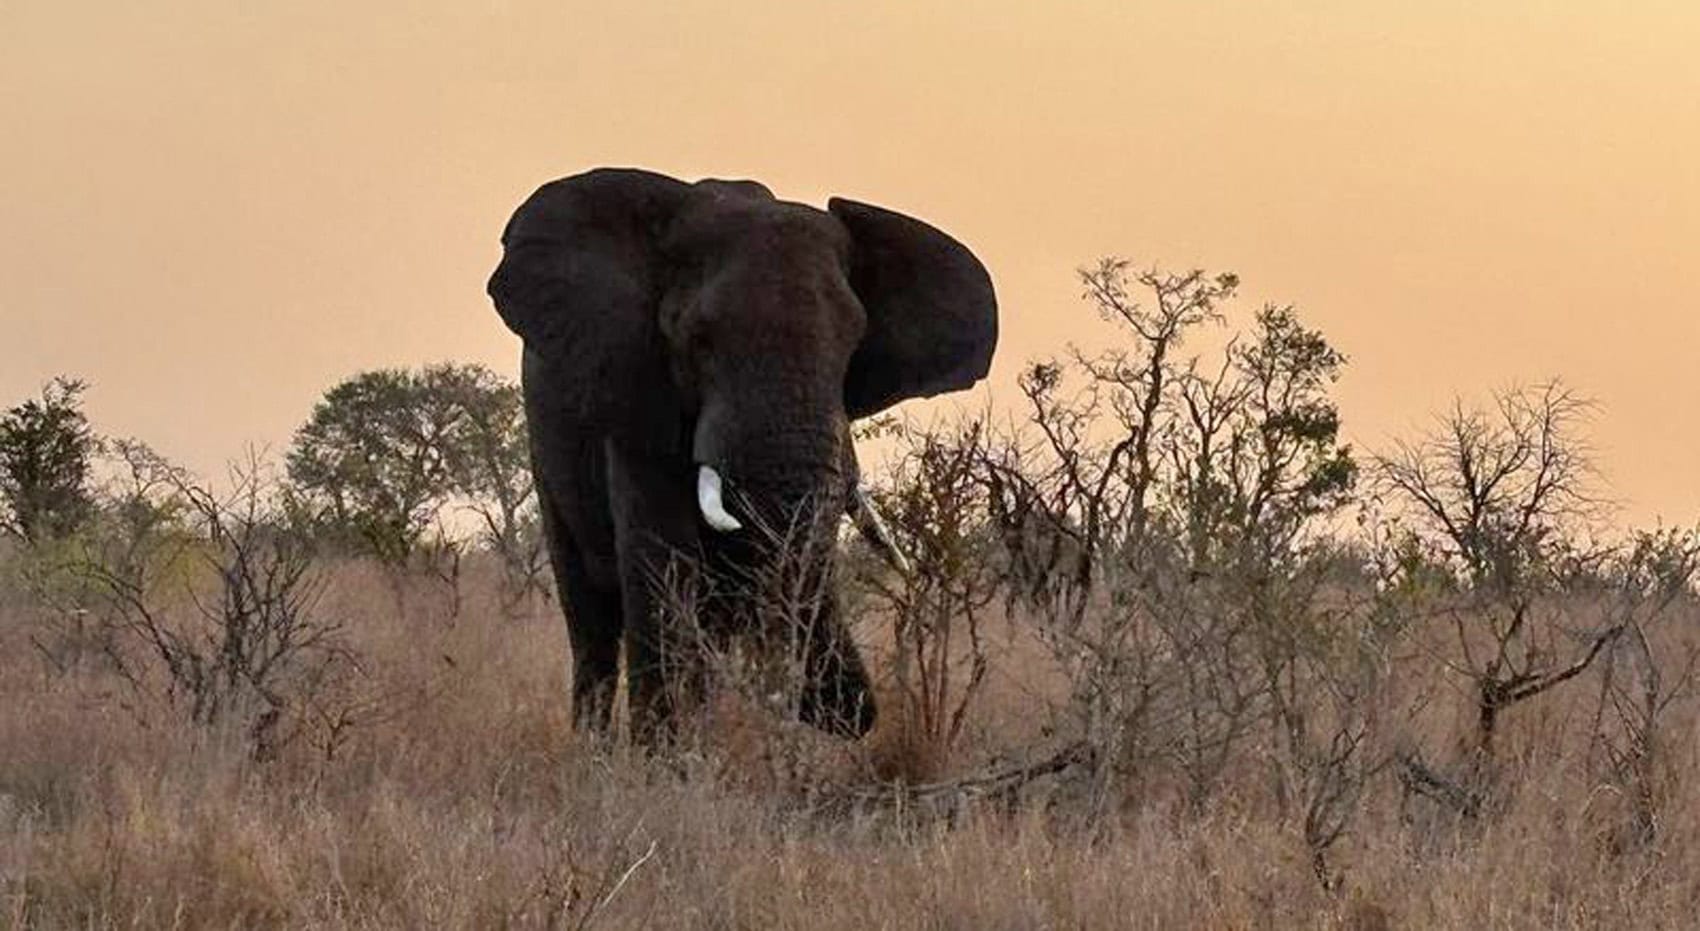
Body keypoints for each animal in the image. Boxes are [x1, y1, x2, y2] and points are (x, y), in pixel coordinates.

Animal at [486, 167, 997, 742]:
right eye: (698, 339)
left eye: (853, 343)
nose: (850, 712)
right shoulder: (636, 391)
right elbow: (663, 565)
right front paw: (664, 758)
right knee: (590, 620)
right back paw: (593, 747)